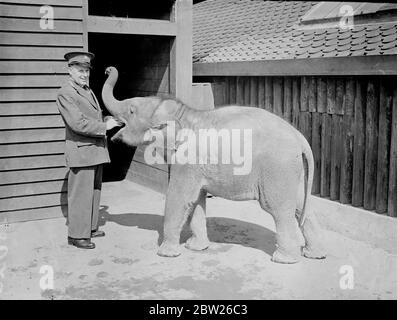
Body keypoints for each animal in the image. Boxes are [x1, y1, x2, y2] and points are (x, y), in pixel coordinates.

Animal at [101, 66, 324, 264]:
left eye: (131, 111)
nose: (107, 69)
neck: (182, 112)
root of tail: (300, 137)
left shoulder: (187, 160)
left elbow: (179, 197)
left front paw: (166, 253)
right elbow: (197, 200)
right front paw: (195, 247)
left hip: (277, 168)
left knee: (279, 210)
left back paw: (283, 259)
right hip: (290, 170)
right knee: (300, 205)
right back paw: (314, 254)